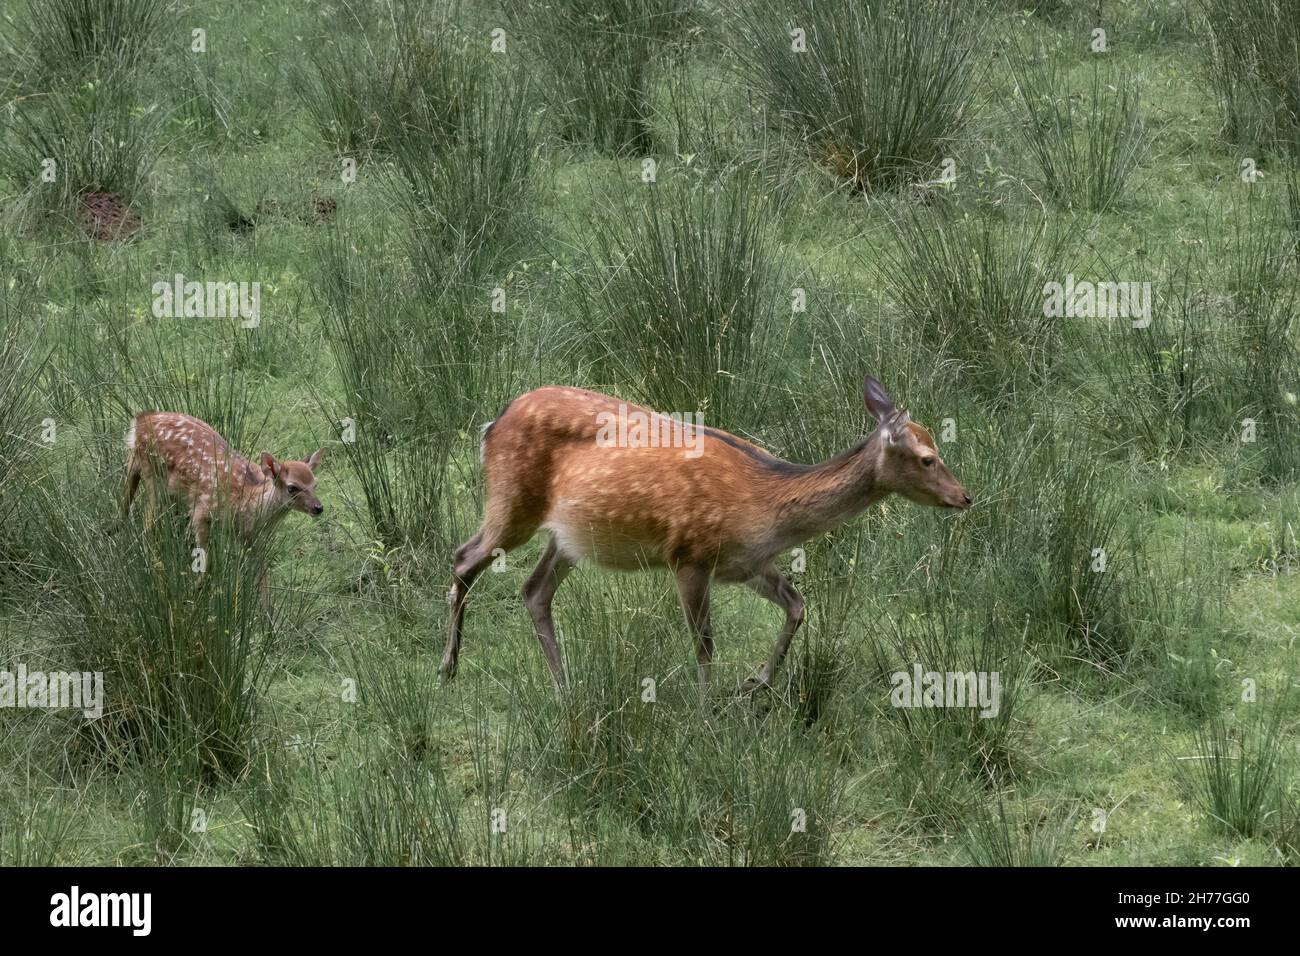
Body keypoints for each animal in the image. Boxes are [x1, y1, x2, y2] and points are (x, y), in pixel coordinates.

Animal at [122, 412, 325, 602]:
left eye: (315, 484)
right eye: (292, 487)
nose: (318, 507)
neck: (248, 503)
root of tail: (141, 419)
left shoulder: (253, 538)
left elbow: (263, 576)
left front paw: (268, 615)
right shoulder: (202, 510)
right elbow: (209, 563)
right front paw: (193, 592)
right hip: (153, 477)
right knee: (147, 526)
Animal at [441, 376, 971, 694]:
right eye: (928, 457)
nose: (965, 496)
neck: (766, 507)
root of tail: (492, 424)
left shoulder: (749, 565)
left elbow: (798, 606)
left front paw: (756, 683)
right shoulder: (690, 555)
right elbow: (705, 642)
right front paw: (706, 710)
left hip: (568, 537)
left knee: (534, 590)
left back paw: (564, 682)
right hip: (512, 501)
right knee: (463, 557)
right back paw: (448, 668)